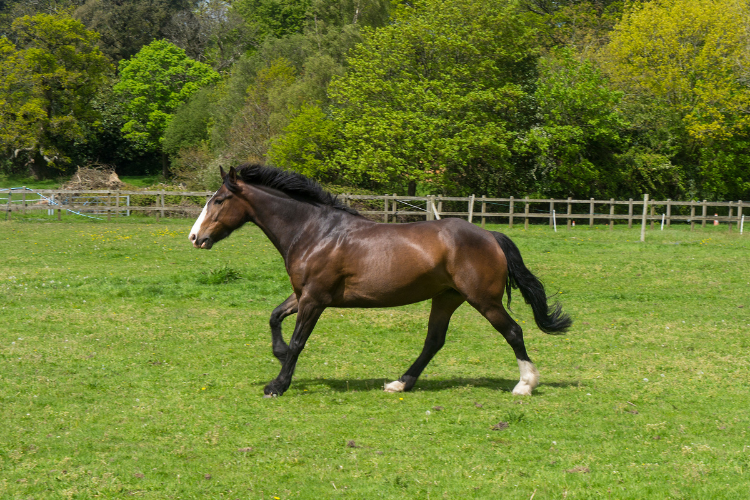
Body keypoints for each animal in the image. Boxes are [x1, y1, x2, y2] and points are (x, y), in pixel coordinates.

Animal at [191, 164, 572, 398]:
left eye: (219, 200)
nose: (195, 238)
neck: (315, 232)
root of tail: (491, 235)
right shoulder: (303, 294)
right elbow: (274, 317)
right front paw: (279, 355)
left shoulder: (314, 298)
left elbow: (299, 341)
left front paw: (277, 384)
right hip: (446, 297)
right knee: (434, 341)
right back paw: (400, 384)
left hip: (483, 300)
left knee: (513, 331)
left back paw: (525, 385)